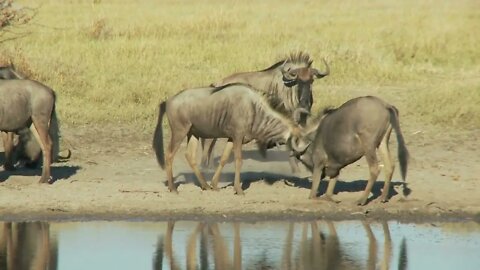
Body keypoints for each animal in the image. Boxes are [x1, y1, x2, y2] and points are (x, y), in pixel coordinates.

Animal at [152, 82, 306, 194]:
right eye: (297, 142)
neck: (253, 108)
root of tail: (168, 101)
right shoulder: (238, 136)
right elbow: (238, 160)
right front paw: (238, 189)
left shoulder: (232, 138)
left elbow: (224, 159)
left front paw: (214, 185)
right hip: (179, 132)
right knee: (169, 155)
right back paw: (173, 188)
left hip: (193, 134)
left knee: (190, 156)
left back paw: (205, 185)